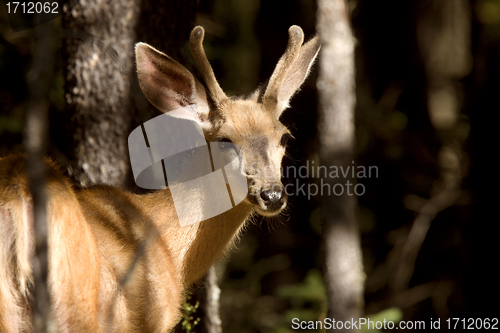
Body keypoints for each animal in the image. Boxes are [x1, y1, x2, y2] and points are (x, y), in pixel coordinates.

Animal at [0, 26, 320, 332]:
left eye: (284, 137)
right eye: (224, 140)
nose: (272, 194)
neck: (169, 247)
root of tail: (19, 192)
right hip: (76, 302)